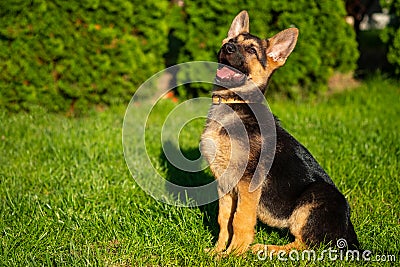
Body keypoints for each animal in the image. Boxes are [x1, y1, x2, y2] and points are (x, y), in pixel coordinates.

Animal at [200, 11, 360, 258]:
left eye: (251, 50)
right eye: (232, 41)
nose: (227, 47)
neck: (235, 103)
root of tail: (348, 233)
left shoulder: (247, 184)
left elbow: (240, 220)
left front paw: (234, 254)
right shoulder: (225, 184)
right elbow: (224, 219)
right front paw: (217, 252)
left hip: (314, 198)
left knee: (307, 246)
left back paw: (265, 249)